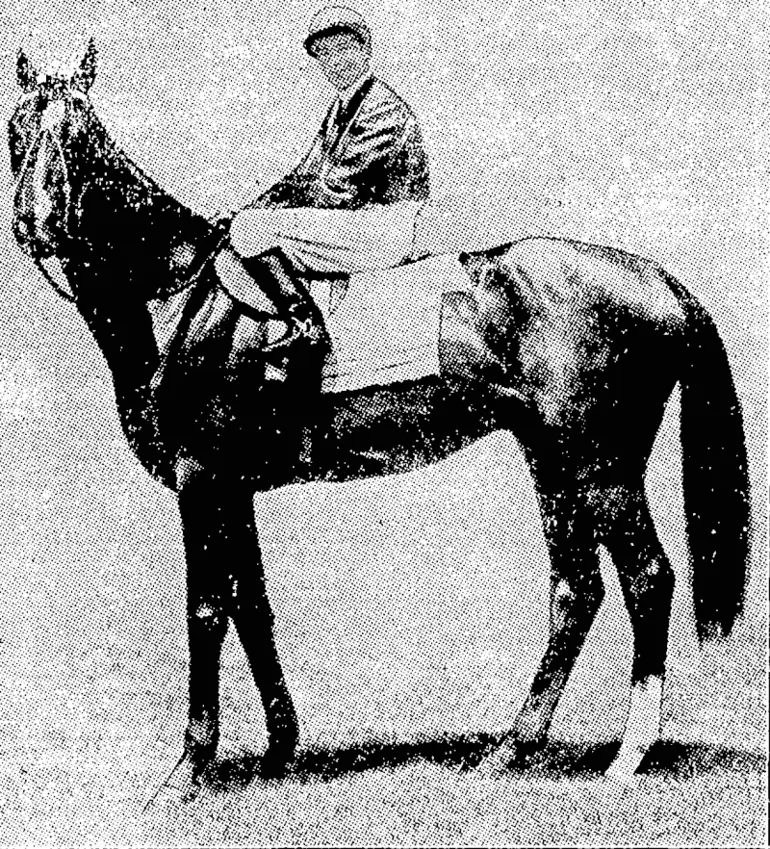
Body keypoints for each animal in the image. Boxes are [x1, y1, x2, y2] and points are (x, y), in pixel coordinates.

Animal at [9, 44, 748, 800]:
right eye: (18, 129)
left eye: (79, 139)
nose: (34, 225)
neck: (180, 299)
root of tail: (655, 277)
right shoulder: (233, 489)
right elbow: (252, 605)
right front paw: (279, 751)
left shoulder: (202, 481)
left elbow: (209, 610)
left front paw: (188, 770)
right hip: (553, 465)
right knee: (576, 589)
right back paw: (511, 750)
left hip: (604, 471)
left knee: (647, 579)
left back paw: (626, 758)